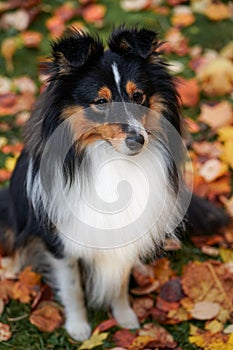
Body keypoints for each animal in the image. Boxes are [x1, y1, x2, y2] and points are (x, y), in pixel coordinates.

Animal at [0, 28, 229, 342]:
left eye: (138, 96)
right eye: (101, 102)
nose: (138, 140)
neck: (109, 157)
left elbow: (119, 282)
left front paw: (125, 317)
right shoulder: (60, 239)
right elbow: (72, 287)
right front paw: (78, 327)